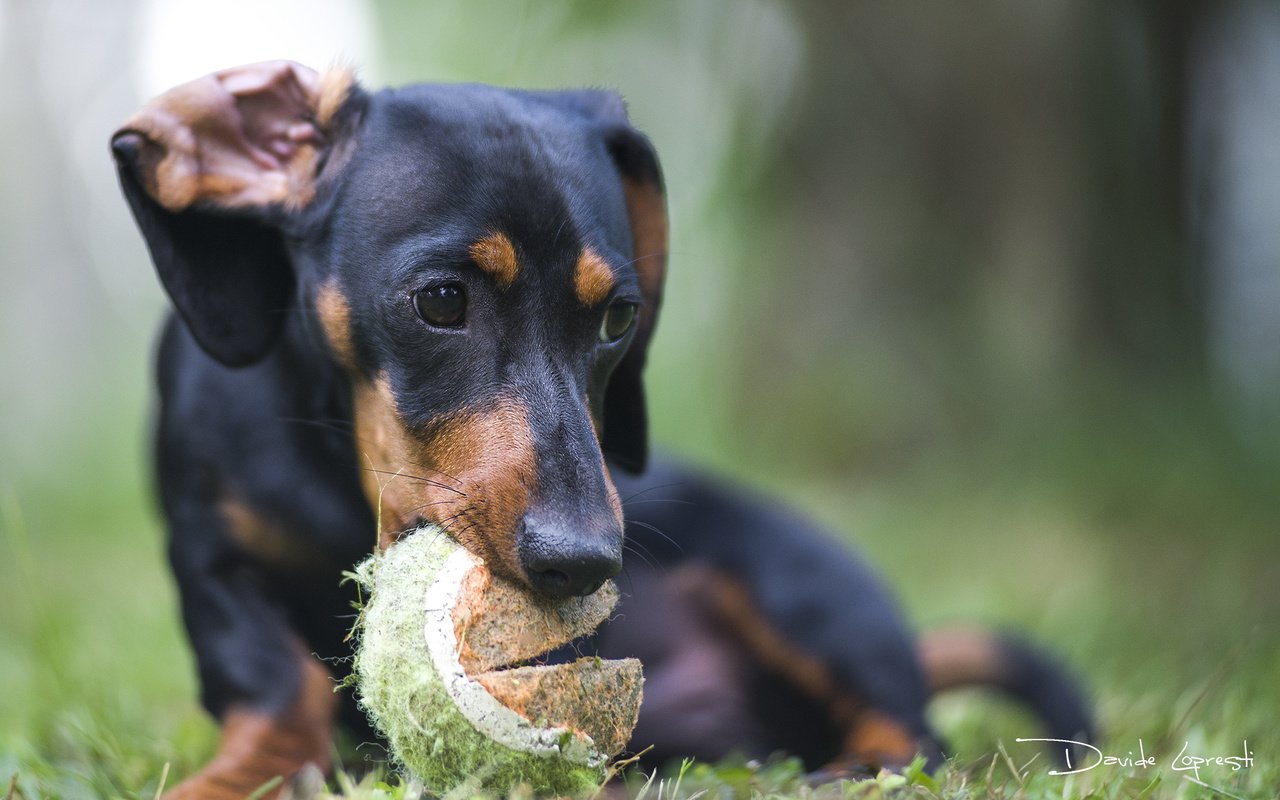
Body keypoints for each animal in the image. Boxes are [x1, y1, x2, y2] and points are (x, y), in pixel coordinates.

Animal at [112, 60, 1090, 793]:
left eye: (619, 316)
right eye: (441, 300)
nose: (584, 563)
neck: (340, 472)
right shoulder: (210, 554)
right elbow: (272, 682)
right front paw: (246, 774)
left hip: (796, 586)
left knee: (917, 740)